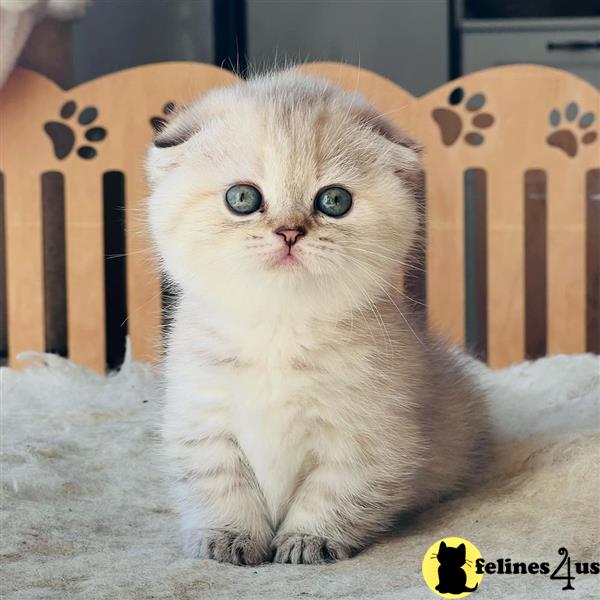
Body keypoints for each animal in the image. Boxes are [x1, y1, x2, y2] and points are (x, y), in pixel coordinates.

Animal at [145, 71, 488, 568]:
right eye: (242, 198)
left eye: (334, 200)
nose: (289, 232)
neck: (278, 329)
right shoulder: (203, 424)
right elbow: (221, 488)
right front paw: (227, 539)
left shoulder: (366, 439)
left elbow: (333, 494)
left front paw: (308, 542)